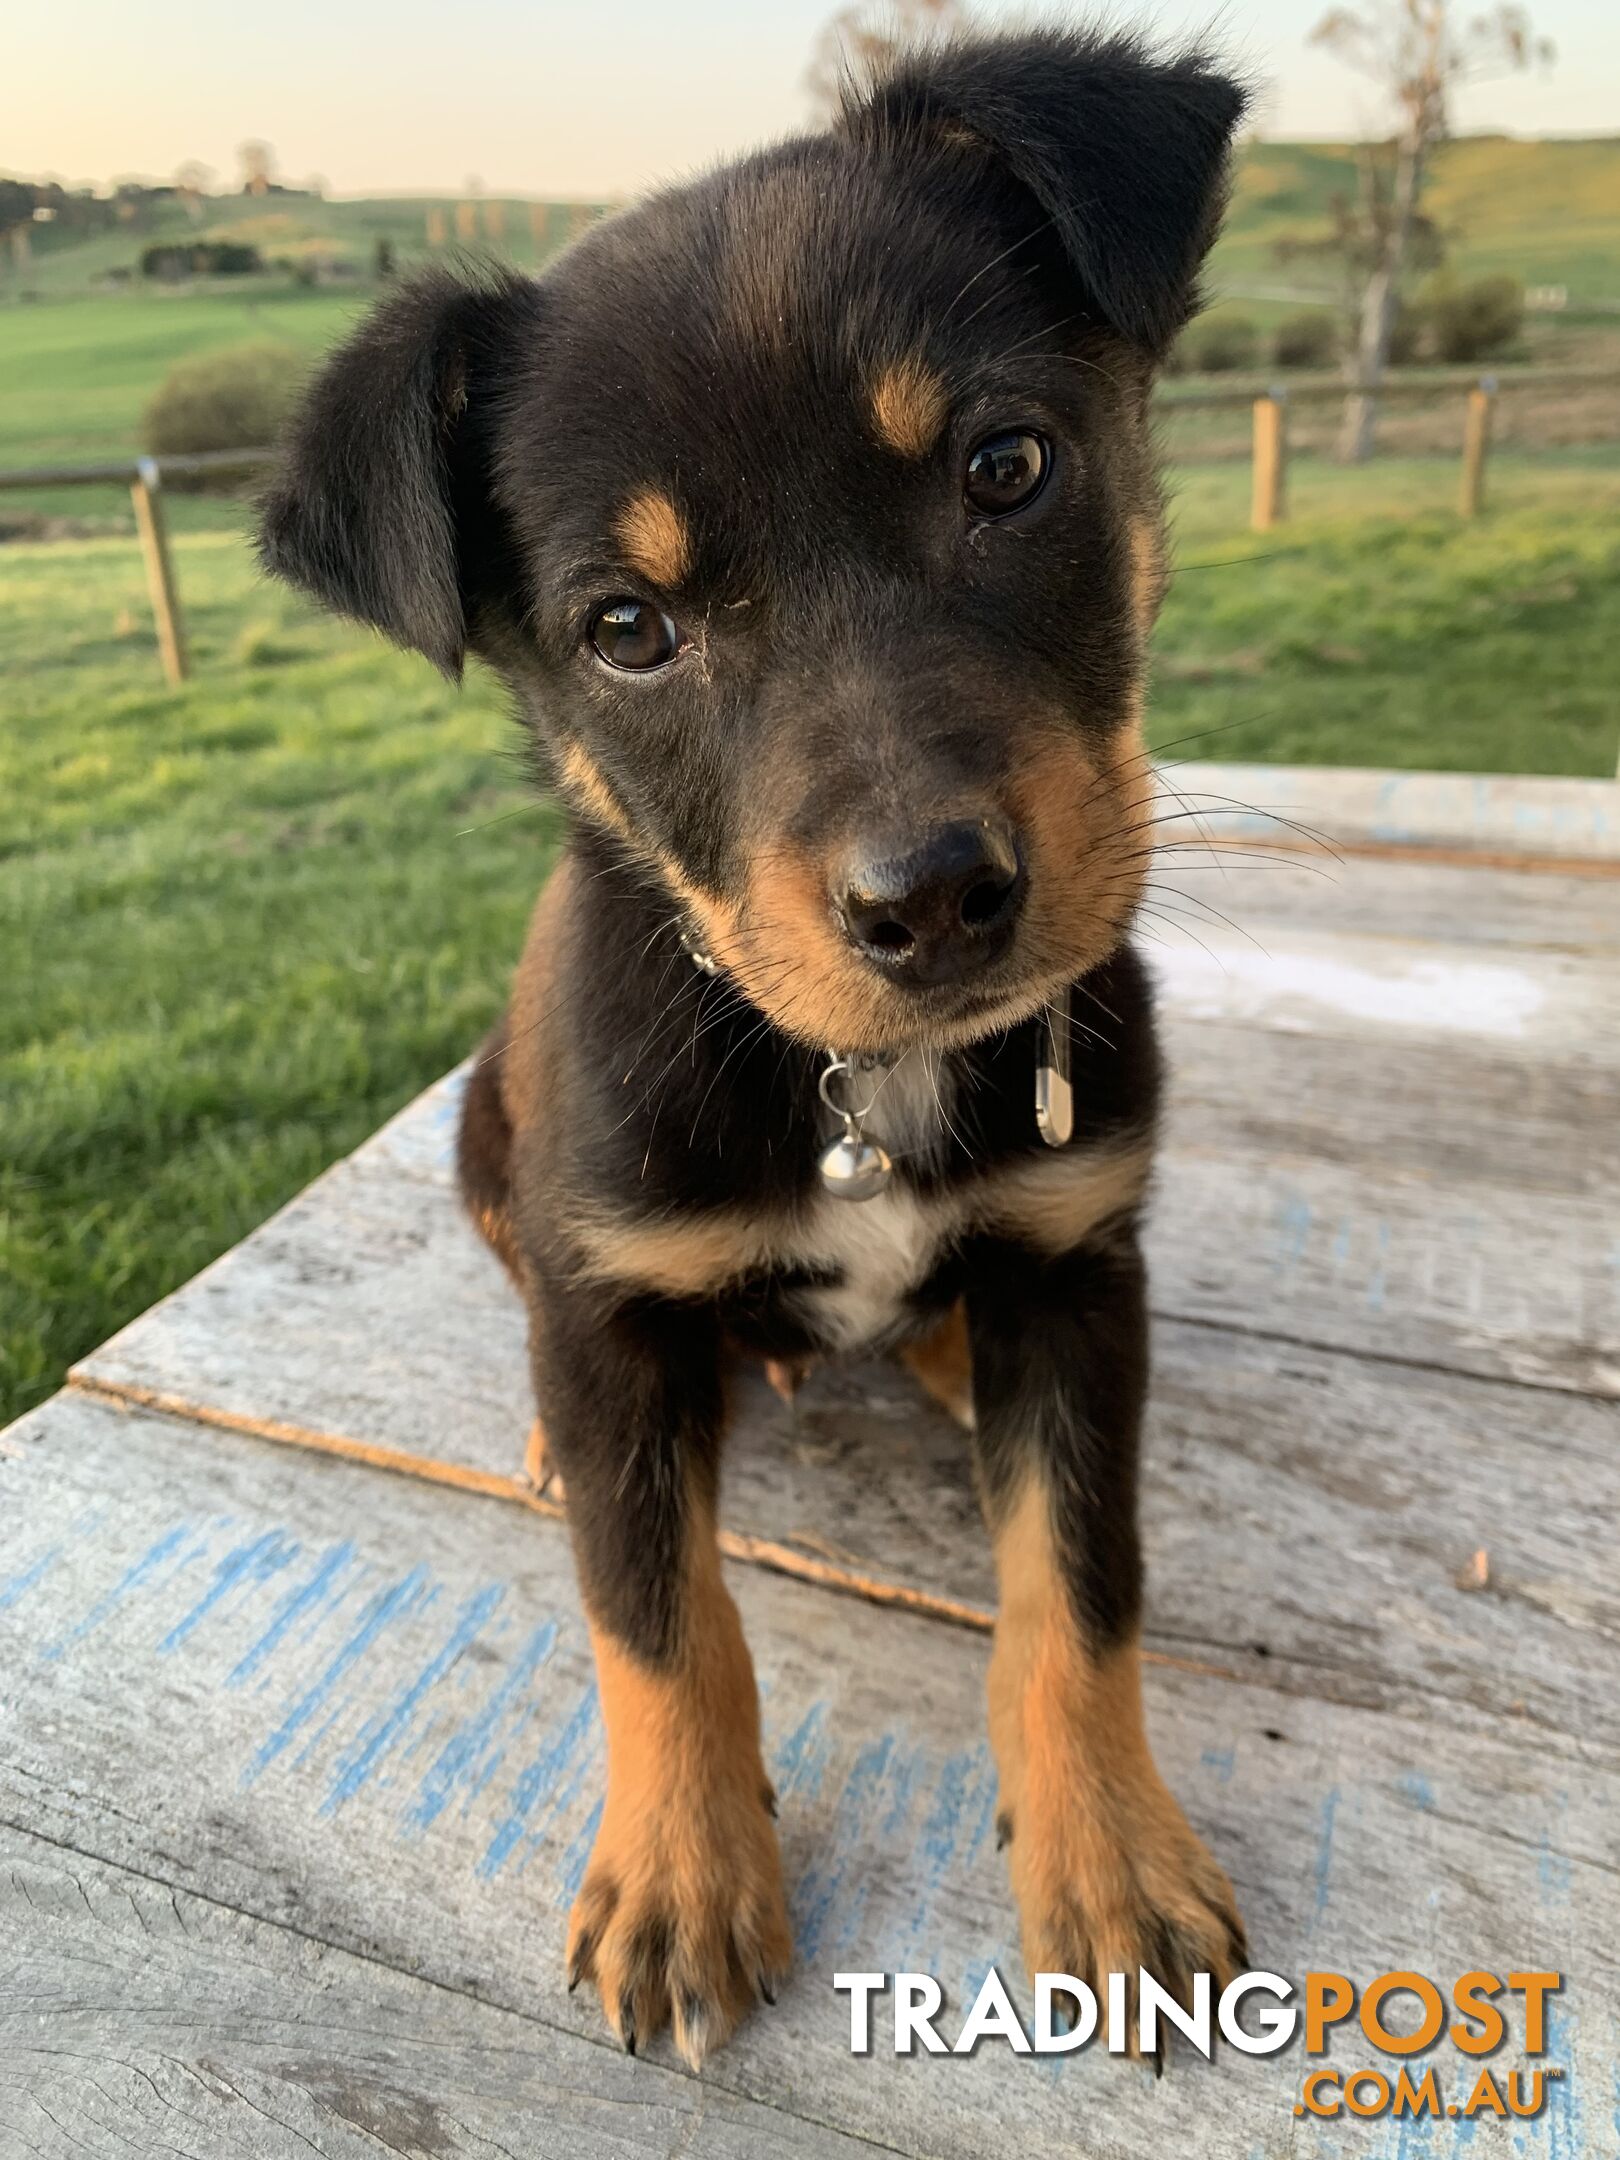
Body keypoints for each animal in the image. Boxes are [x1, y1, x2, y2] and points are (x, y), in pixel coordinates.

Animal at [263, 25, 1252, 2064]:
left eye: (1007, 465)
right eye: (625, 629)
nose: (932, 902)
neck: (842, 1082)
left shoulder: (1083, 1261)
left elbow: (1077, 1583)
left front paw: (1115, 1853)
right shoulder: (615, 1287)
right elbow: (656, 1613)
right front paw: (680, 1873)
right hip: (491, 1140)